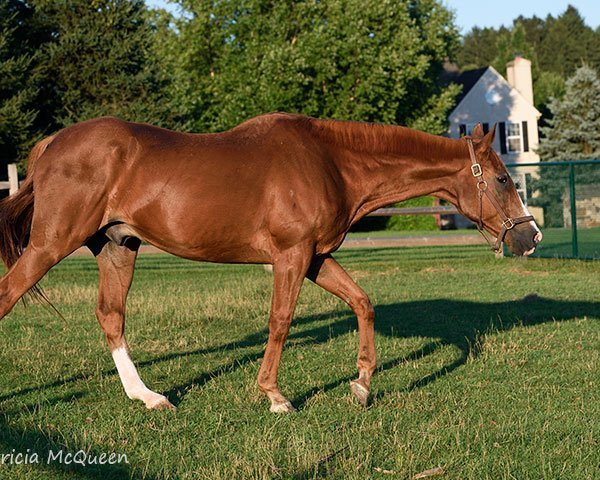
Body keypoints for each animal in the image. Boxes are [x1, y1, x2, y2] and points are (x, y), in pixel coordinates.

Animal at [0, 113, 540, 412]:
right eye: (500, 179)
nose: (529, 236)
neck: (330, 161)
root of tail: (52, 145)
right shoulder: (291, 255)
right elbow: (280, 320)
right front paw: (275, 396)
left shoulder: (318, 257)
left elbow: (363, 303)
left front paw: (362, 385)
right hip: (49, 247)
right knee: (9, 296)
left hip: (117, 248)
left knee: (111, 317)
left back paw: (148, 396)